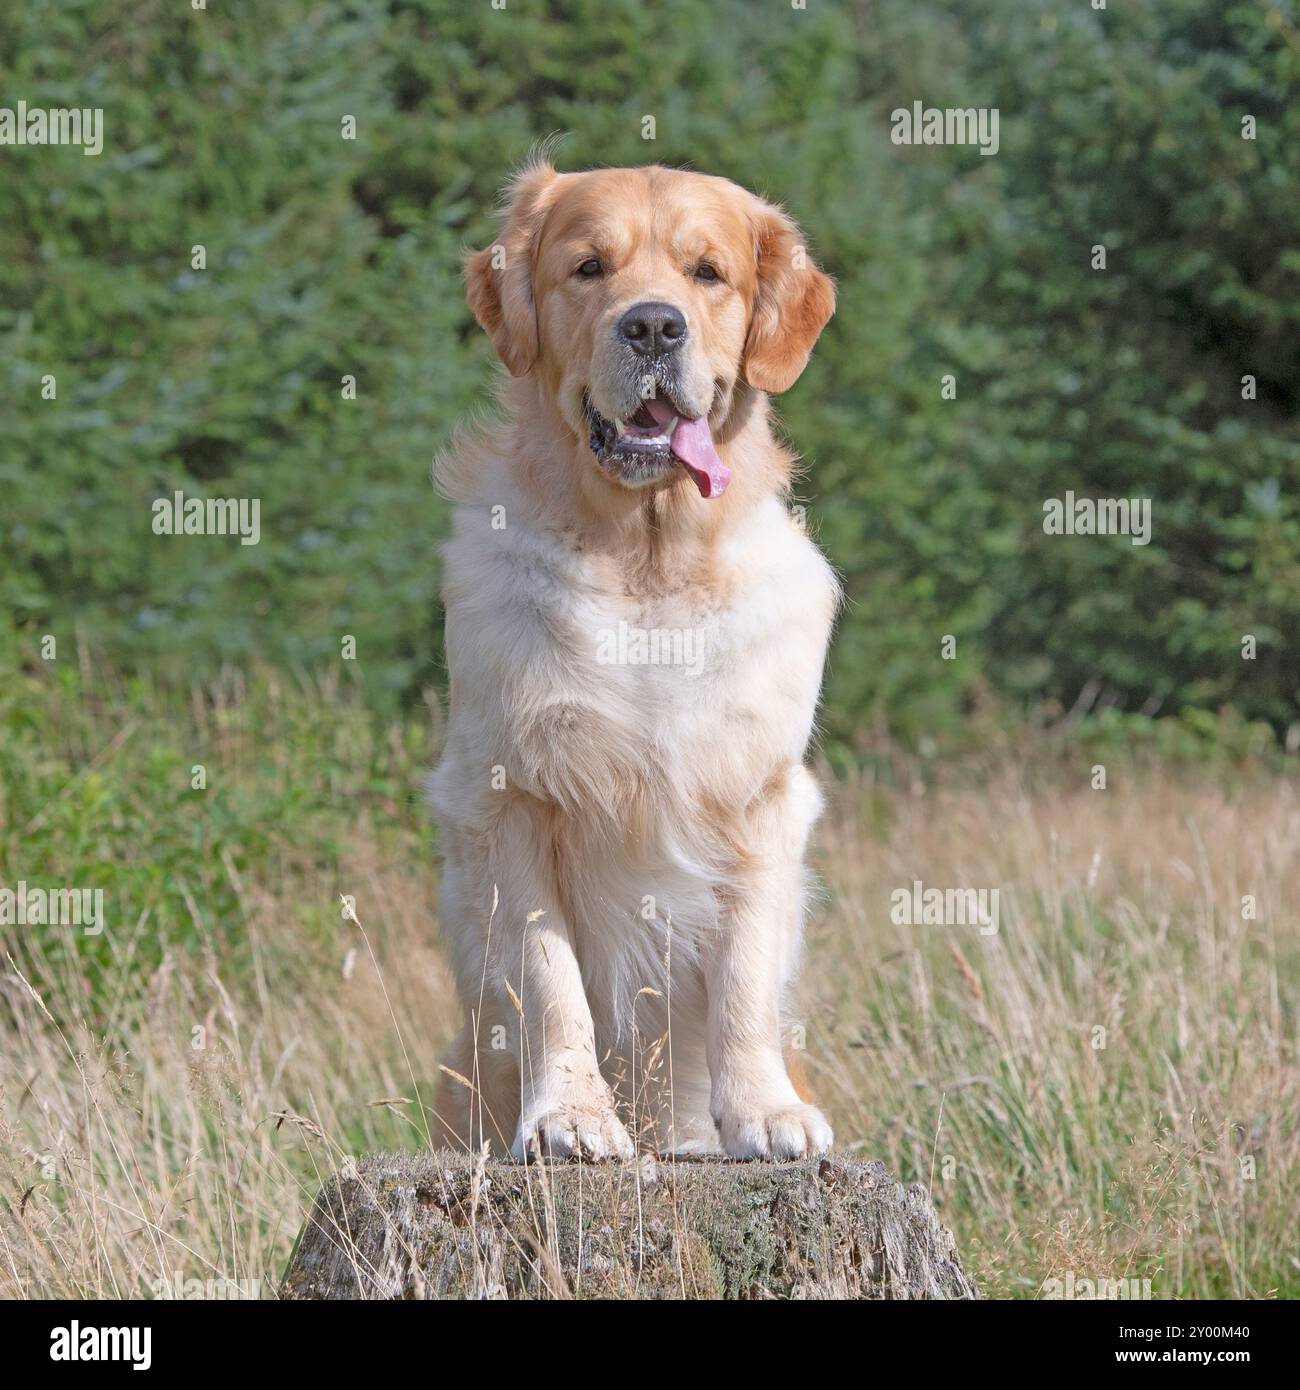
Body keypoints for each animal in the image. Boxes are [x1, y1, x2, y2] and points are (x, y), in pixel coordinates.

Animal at [431, 159, 839, 1162]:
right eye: (588, 268)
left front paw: (766, 1113)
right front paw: (571, 1117)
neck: (649, 567)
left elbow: (743, 978)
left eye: (707, 272)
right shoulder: (511, 794)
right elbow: (549, 979)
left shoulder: (760, 795)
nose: (653, 325)